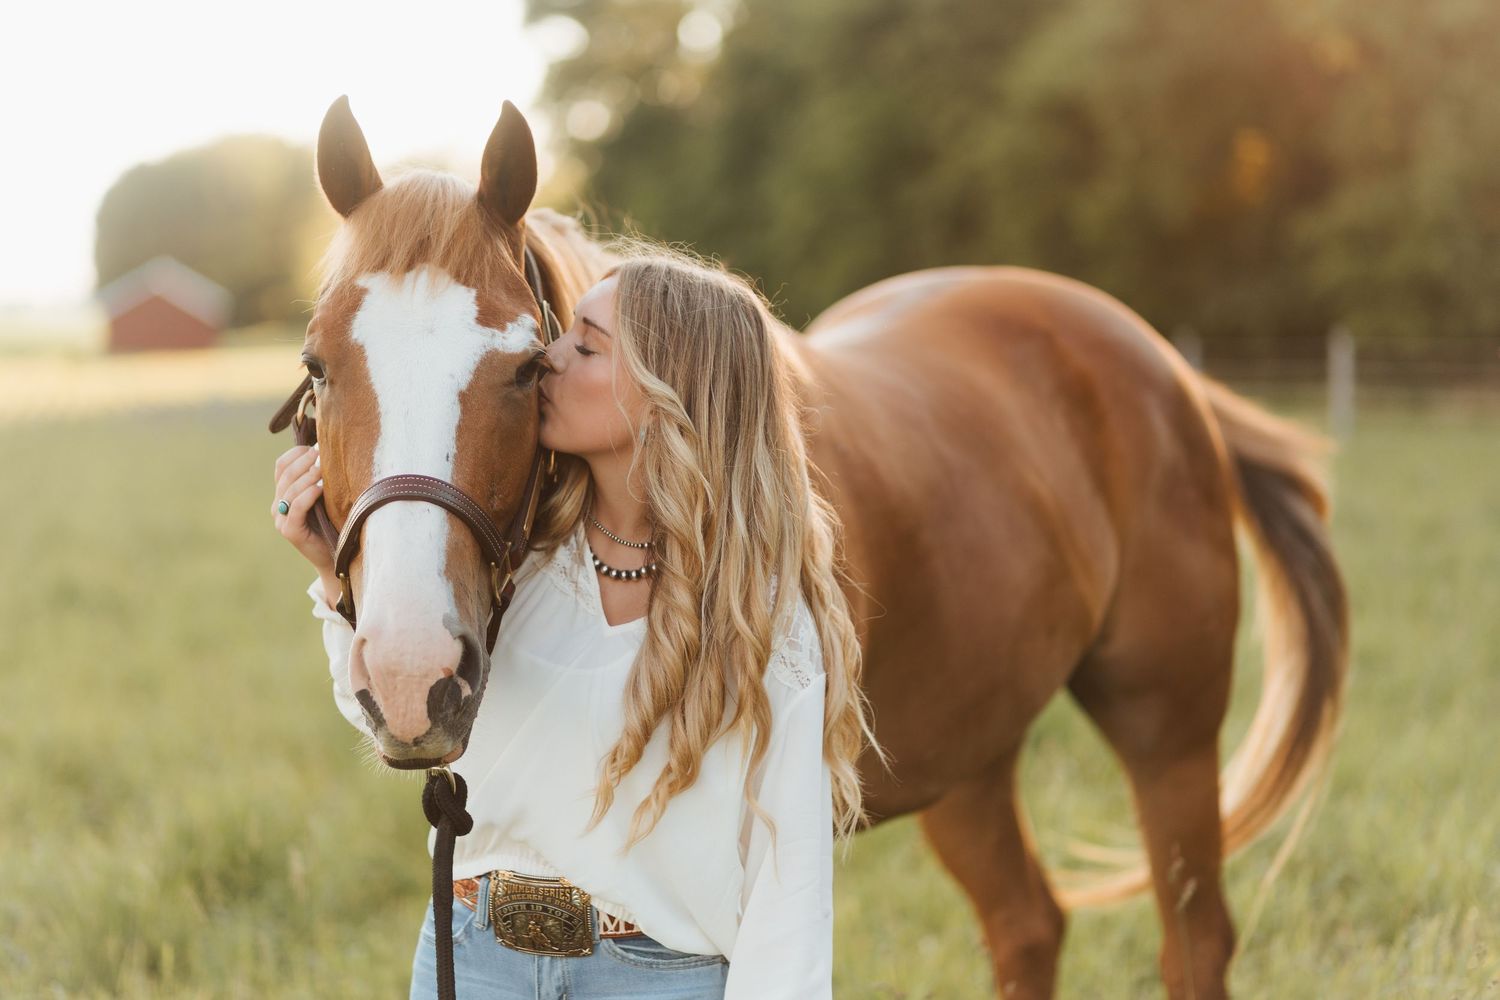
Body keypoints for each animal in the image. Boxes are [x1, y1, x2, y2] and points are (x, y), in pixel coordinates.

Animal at [288, 95, 1348, 1000]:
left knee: (1194, 937)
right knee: (1029, 924)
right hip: (971, 755)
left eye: (525, 371)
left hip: (1167, 730)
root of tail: (1165, 367)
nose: (413, 675)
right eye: (318, 366)